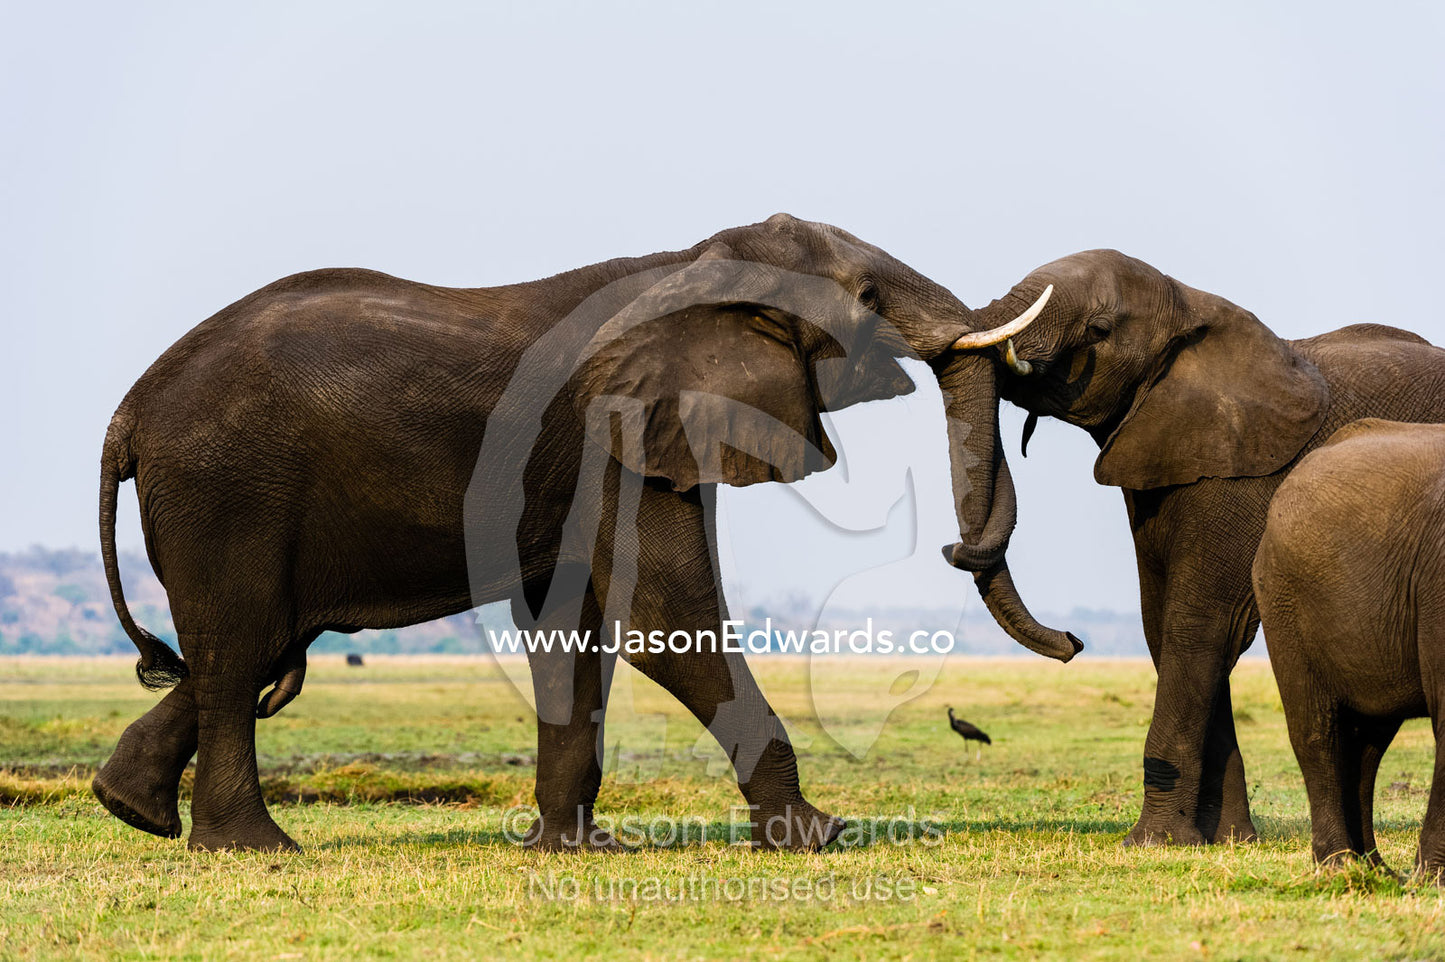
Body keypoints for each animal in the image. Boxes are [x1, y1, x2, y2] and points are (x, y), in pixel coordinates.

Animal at [93, 213, 1052, 853]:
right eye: (866, 297)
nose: (956, 549)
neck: (689, 265)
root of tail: (128, 412)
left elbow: (574, 625)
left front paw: (573, 851)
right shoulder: (620, 427)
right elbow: (664, 614)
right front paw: (819, 836)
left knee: (249, 646)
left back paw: (128, 807)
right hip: (225, 489)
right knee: (238, 644)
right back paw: (253, 849)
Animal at [1253, 418, 1445, 878]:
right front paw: (1432, 881)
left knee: (1367, 744)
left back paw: (1373, 870)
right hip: (1282, 597)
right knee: (1317, 730)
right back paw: (1338, 866)